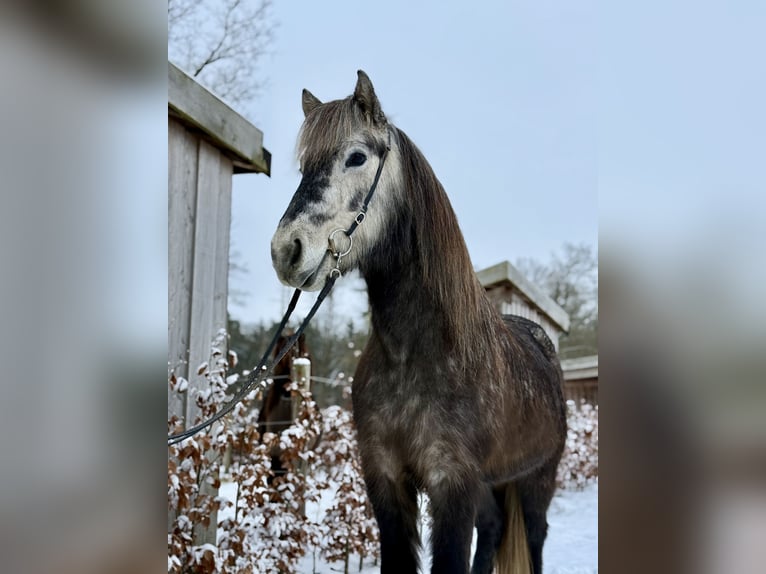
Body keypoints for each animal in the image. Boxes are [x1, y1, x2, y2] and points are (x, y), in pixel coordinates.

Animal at [270, 71, 566, 574]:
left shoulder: (452, 483)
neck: (417, 355)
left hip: (537, 479)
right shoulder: (386, 480)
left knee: (535, 537)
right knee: (492, 530)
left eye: (356, 157)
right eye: (304, 167)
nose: (285, 250)